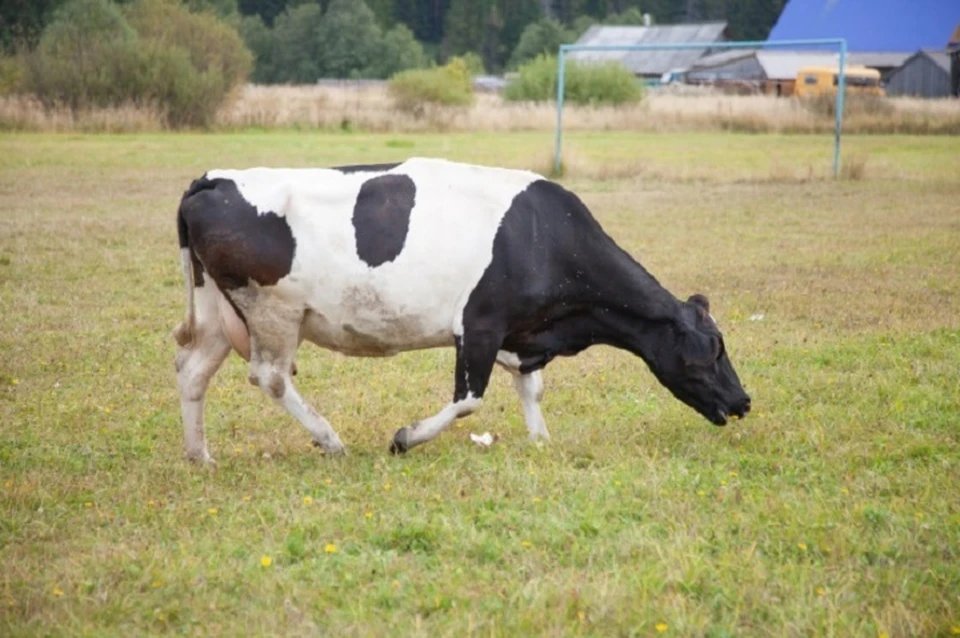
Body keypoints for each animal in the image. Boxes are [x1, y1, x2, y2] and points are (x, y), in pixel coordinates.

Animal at [173, 158, 751, 462]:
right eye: (711, 351)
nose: (743, 401)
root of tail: (214, 177)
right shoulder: (480, 325)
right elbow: (469, 399)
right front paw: (405, 438)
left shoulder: (520, 333)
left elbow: (531, 389)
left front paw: (540, 441)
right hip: (273, 310)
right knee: (270, 377)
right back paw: (330, 439)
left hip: (218, 313)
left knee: (192, 371)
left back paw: (201, 457)